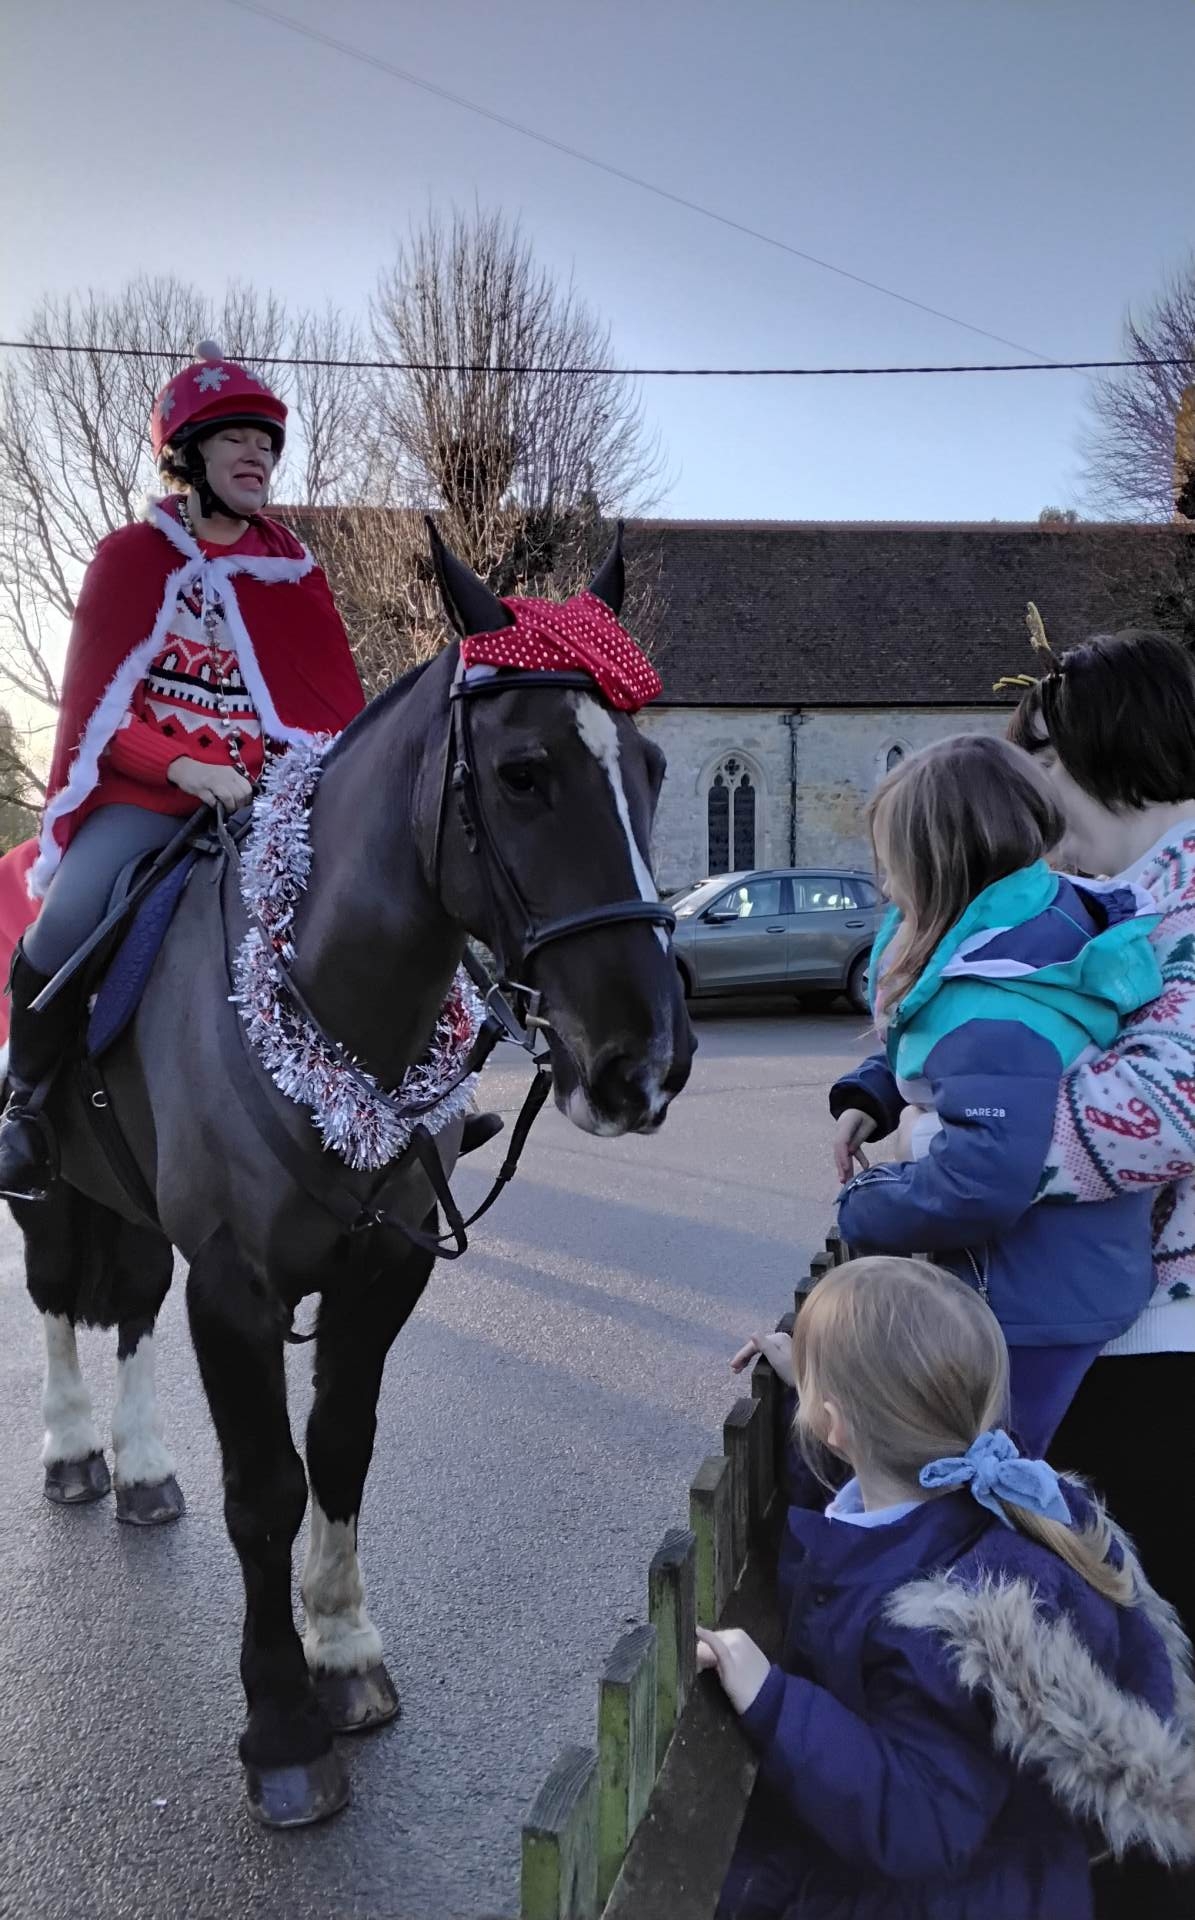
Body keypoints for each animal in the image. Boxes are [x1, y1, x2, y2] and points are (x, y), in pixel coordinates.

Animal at [8, 525, 694, 1827]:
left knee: (124, 1302)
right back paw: (73, 1448)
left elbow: (337, 1452)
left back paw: (142, 1465)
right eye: (523, 773)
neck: (322, 994)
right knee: (61, 1294)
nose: (647, 1062)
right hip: (45, 1184)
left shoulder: (379, 1274)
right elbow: (265, 1488)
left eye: (654, 769)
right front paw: (281, 1727)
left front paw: (342, 1654)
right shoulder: (234, 1290)